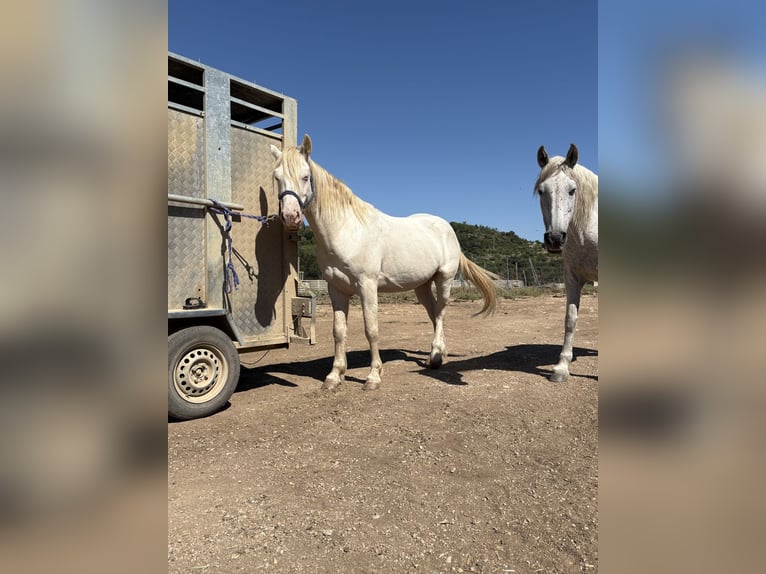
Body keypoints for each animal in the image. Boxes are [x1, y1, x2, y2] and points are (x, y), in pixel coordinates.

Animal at [271, 134, 497, 391]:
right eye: (277, 177)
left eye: (305, 176)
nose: (290, 216)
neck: (348, 230)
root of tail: (446, 227)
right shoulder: (336, 289)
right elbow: (338, 331)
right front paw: (334, 376)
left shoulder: (367, 286)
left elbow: (372, 330)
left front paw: (373, 376)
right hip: (421, 285)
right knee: (433, 313)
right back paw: (437, 354)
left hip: (444, 279)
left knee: (440, 314)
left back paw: (436, 357)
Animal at [535, 144, 598, 382]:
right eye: (541, 191)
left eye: (572, 190)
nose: (554, 239)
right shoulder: (572, 278)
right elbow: (570, 319)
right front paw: (562, 367)